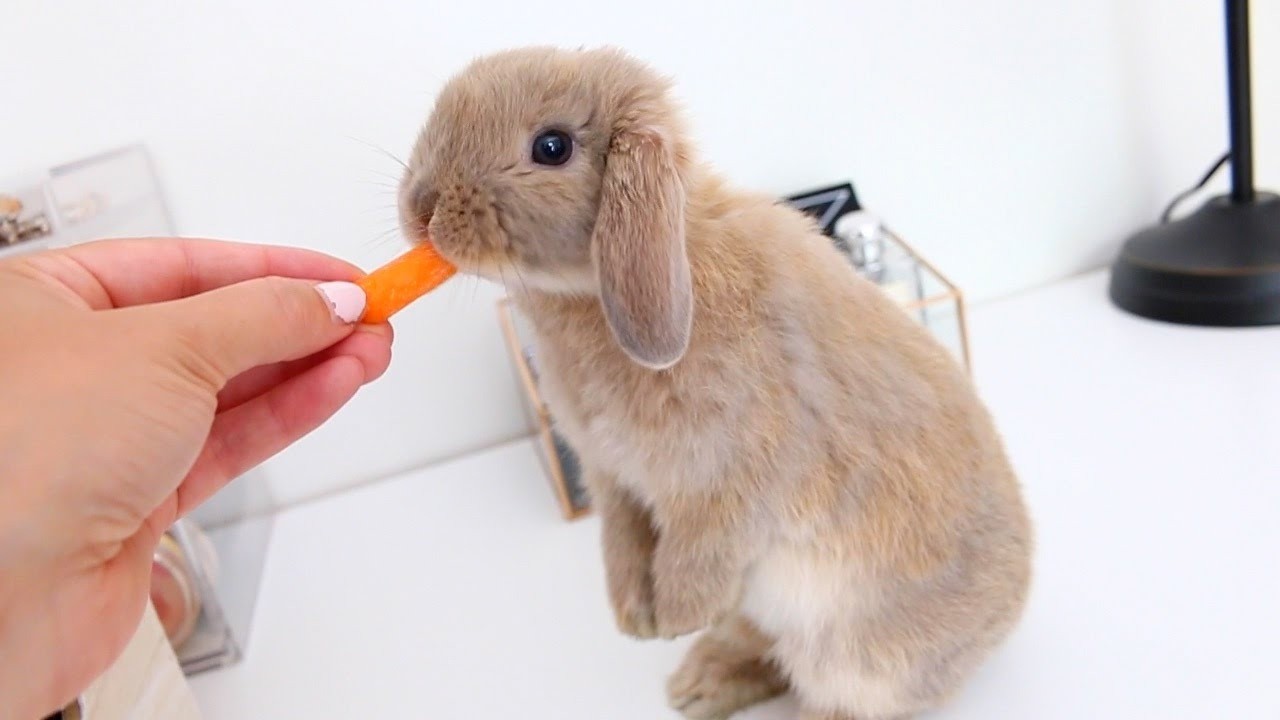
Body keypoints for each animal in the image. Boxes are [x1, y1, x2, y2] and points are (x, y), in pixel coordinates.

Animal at [398, 46, 1033, 720]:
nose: (421, 208)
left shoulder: (728, 487)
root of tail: (1009, 613)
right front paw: (633, 618)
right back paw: (697, 686)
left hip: (858, 657)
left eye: (552, 147)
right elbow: (620, 542)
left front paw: (675, 616)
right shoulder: (613, 479)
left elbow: (696, 554)